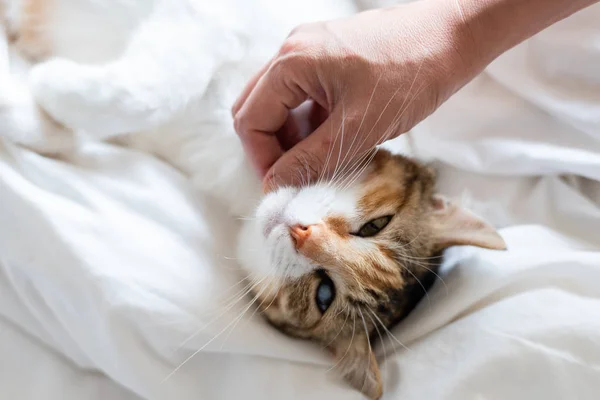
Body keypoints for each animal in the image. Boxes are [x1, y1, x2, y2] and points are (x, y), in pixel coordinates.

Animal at [0, 0, 506, 396]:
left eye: (324, 293)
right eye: (375, 226)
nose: (302, 232)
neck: (244, 174)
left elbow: (79, 126)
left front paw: (33, 97)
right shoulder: (224, 25)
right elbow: (164, 81)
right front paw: (49, 86)